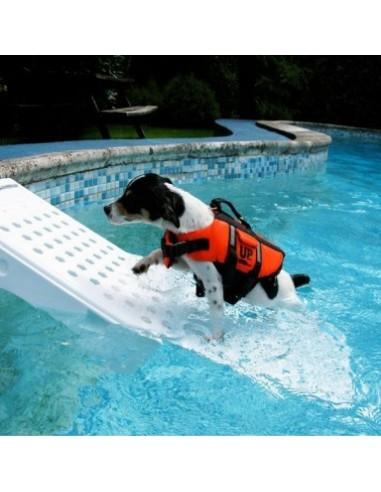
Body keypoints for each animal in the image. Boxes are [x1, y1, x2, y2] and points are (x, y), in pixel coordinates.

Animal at [104, 172, 308, 338]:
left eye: (131, 199)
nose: (105, 208)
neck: (189, 222)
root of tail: (292, 281)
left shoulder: (213, 282)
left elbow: (216, 311)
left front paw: (216, 338)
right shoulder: (187, 262)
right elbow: (159, 252)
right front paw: (142, 264)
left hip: (288, 304)